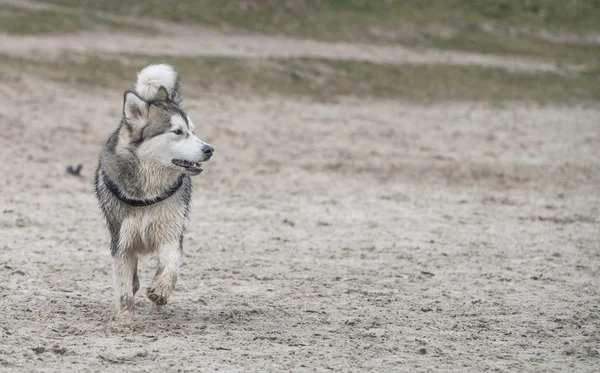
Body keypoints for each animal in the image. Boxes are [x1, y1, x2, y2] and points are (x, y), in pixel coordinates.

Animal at [94, 63, 213, 316]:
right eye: (177, 132)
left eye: (193, 131)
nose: (209, 149)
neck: (148, 192)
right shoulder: (122, 239)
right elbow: (123, 284)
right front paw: (125, 316)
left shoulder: (170, 231)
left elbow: (171, 265)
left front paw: (160, 289)